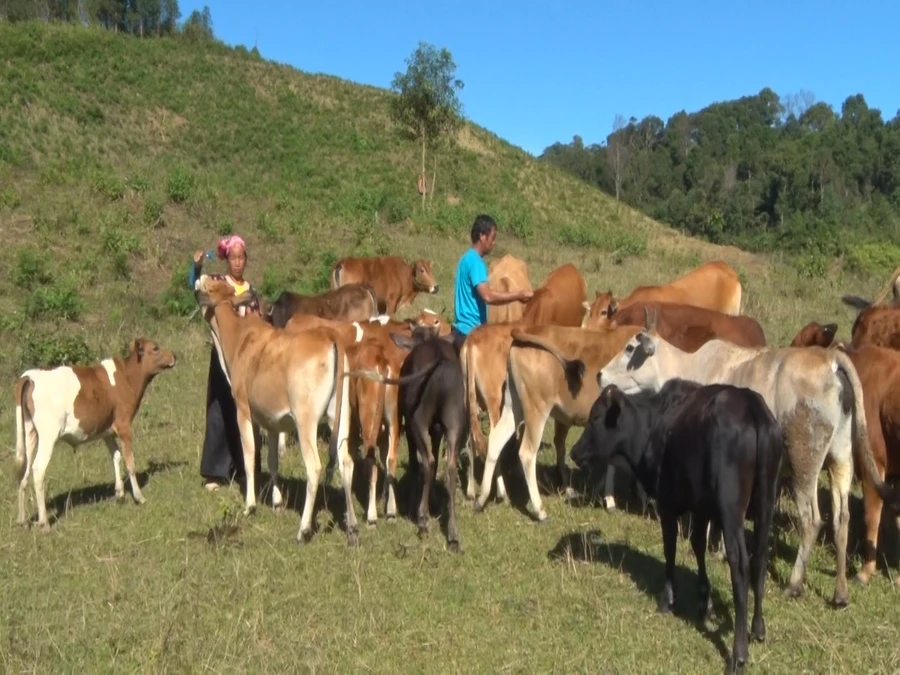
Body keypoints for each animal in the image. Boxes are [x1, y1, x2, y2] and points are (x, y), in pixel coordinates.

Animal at [14, 338, 175, 532]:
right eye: (155, 348)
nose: (174, 356)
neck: (127, 377)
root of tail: (30, 376)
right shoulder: (124, 425)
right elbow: (130, 462)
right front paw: (139, 497)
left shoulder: (107, 430)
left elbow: (116, 456)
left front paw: (120, 494)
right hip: (48, 435)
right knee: (38, 470)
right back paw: (44, 523)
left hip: (30, 432)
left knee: (24, 472)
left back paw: (22, 519)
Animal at [194, 278, 358, 548]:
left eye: (212, 284)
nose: (201, 278)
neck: (240, 338)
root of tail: (329, 335)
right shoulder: (272, 422)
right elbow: (272, 460)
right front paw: (278, 502)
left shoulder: (244, 411)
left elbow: (250, 456)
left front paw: (250, 505)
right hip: (341, 415)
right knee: (346, 462)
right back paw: (353, 528)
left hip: (306, 421)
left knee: (314, 467)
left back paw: (303, 530)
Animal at [572, 380, 784, 675]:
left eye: (595, 418)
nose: (574, 452)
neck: (654, 425)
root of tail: (750, 404)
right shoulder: (701, 507)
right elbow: (697, 545)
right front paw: (703, 599)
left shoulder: (668, 505)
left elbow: (670, 549)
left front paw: (667, 599)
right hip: (766, 502)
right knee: (760, 559)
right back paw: (758, 628)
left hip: (731, 511)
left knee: (740, 567)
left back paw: (738, 654)